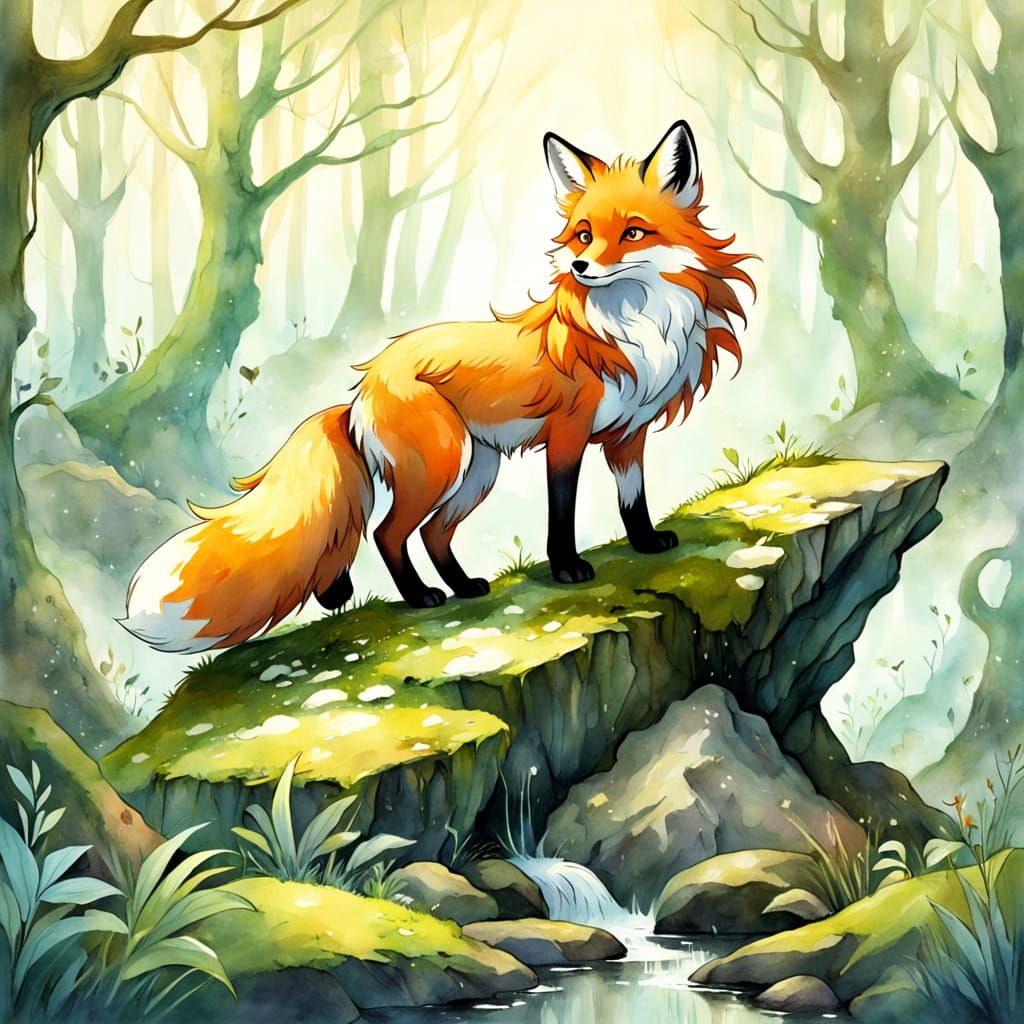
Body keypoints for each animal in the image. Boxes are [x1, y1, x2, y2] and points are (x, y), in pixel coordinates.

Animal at [121, 120, 753, 653]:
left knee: (431, 535)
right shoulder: (569, 434)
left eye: (633, 232)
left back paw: (455, 586)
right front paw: (567, 568)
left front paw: (646, 543)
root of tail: (361, 387)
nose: (580, 268)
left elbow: (632, 501)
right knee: (387, 533)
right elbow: (563, 510)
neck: (635, 328)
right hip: (442, 463)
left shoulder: (628, 434)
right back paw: (421, 597)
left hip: (476, 470)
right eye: (582, 235)